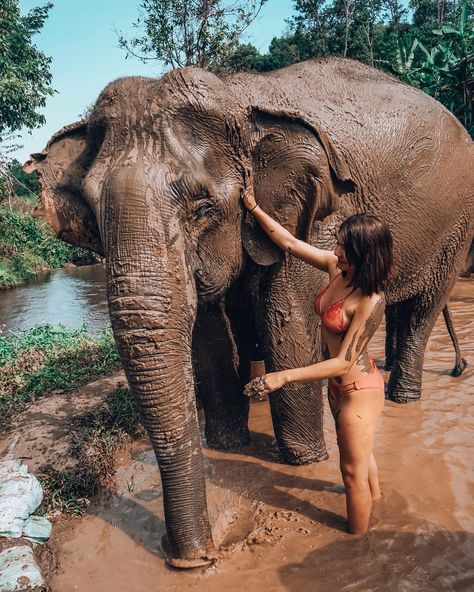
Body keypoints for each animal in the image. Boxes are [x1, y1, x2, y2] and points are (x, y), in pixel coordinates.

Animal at [26, 57, 474, 568]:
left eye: (202, 208)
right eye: (95, 216)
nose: (195, 559)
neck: (238, 99)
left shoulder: (320, 219)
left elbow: (289, 326)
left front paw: (305, 460)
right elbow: (210, 336)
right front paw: (227, 445)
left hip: (457, 225)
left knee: (422, 309)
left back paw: (403, 398)